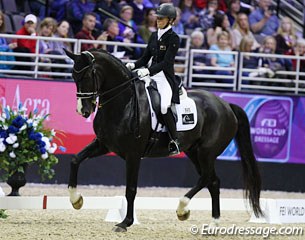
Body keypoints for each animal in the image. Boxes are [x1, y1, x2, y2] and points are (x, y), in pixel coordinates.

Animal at [64, 49, 262, 232]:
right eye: (73, 76)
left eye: (87, 75)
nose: (83, 111)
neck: (123, 101)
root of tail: (226, 105)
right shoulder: (104, 145)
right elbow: (75, 160)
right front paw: (76, 200)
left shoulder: (133, 154)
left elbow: (131, 189)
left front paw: (125, 222)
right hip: (194, 152)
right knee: (212, 181)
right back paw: (213, 223)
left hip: (207, 152)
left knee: (206, 178)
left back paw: (182, 210)